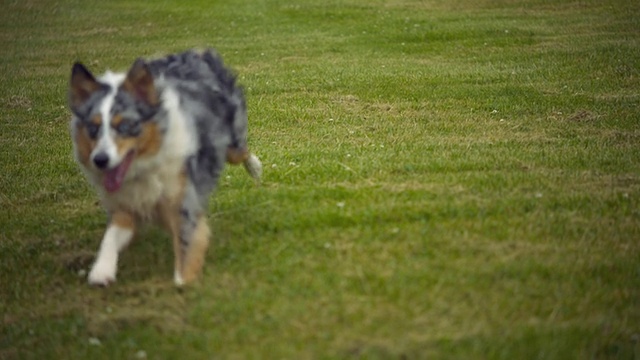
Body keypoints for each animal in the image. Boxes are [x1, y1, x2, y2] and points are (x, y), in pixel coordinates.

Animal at [68, 48, 262, 286]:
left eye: (125, 125)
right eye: (93, 128)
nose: (100, 160)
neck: (146, 166)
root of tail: (196, 52)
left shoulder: (183, 201)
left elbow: (186, 245)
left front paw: (183, 282)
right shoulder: (125, 204)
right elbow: (111, 236)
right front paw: (101, 270)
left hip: (231, 142)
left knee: (242, 151)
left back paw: (256, 168)